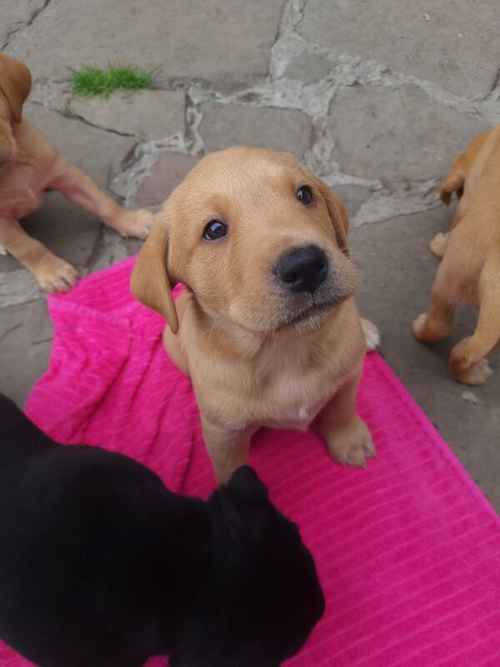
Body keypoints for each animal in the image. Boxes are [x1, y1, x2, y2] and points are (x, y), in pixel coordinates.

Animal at [131, 146, 376, 482]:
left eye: (304, 194)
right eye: (214, 230)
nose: (305, 265)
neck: (284, 348)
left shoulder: (350, 373)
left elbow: (342, 407)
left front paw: (349, 440)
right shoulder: (222, 434)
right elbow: (232, 470)